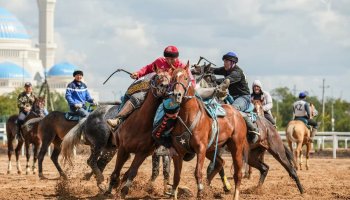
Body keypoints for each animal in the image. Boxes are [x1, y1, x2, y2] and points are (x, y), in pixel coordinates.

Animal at [167, 66, 246, 199]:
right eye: (172, 78)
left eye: (186, 78)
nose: (177, 94)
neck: (189, 116)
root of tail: (238, 114)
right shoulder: (178, 151)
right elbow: (176, 177)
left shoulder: (201, 149)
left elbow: (198, 172)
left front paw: (200, 192)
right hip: (212, 149)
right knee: (220, 162)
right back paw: (208, 185)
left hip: (236, 147)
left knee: (238, 174)